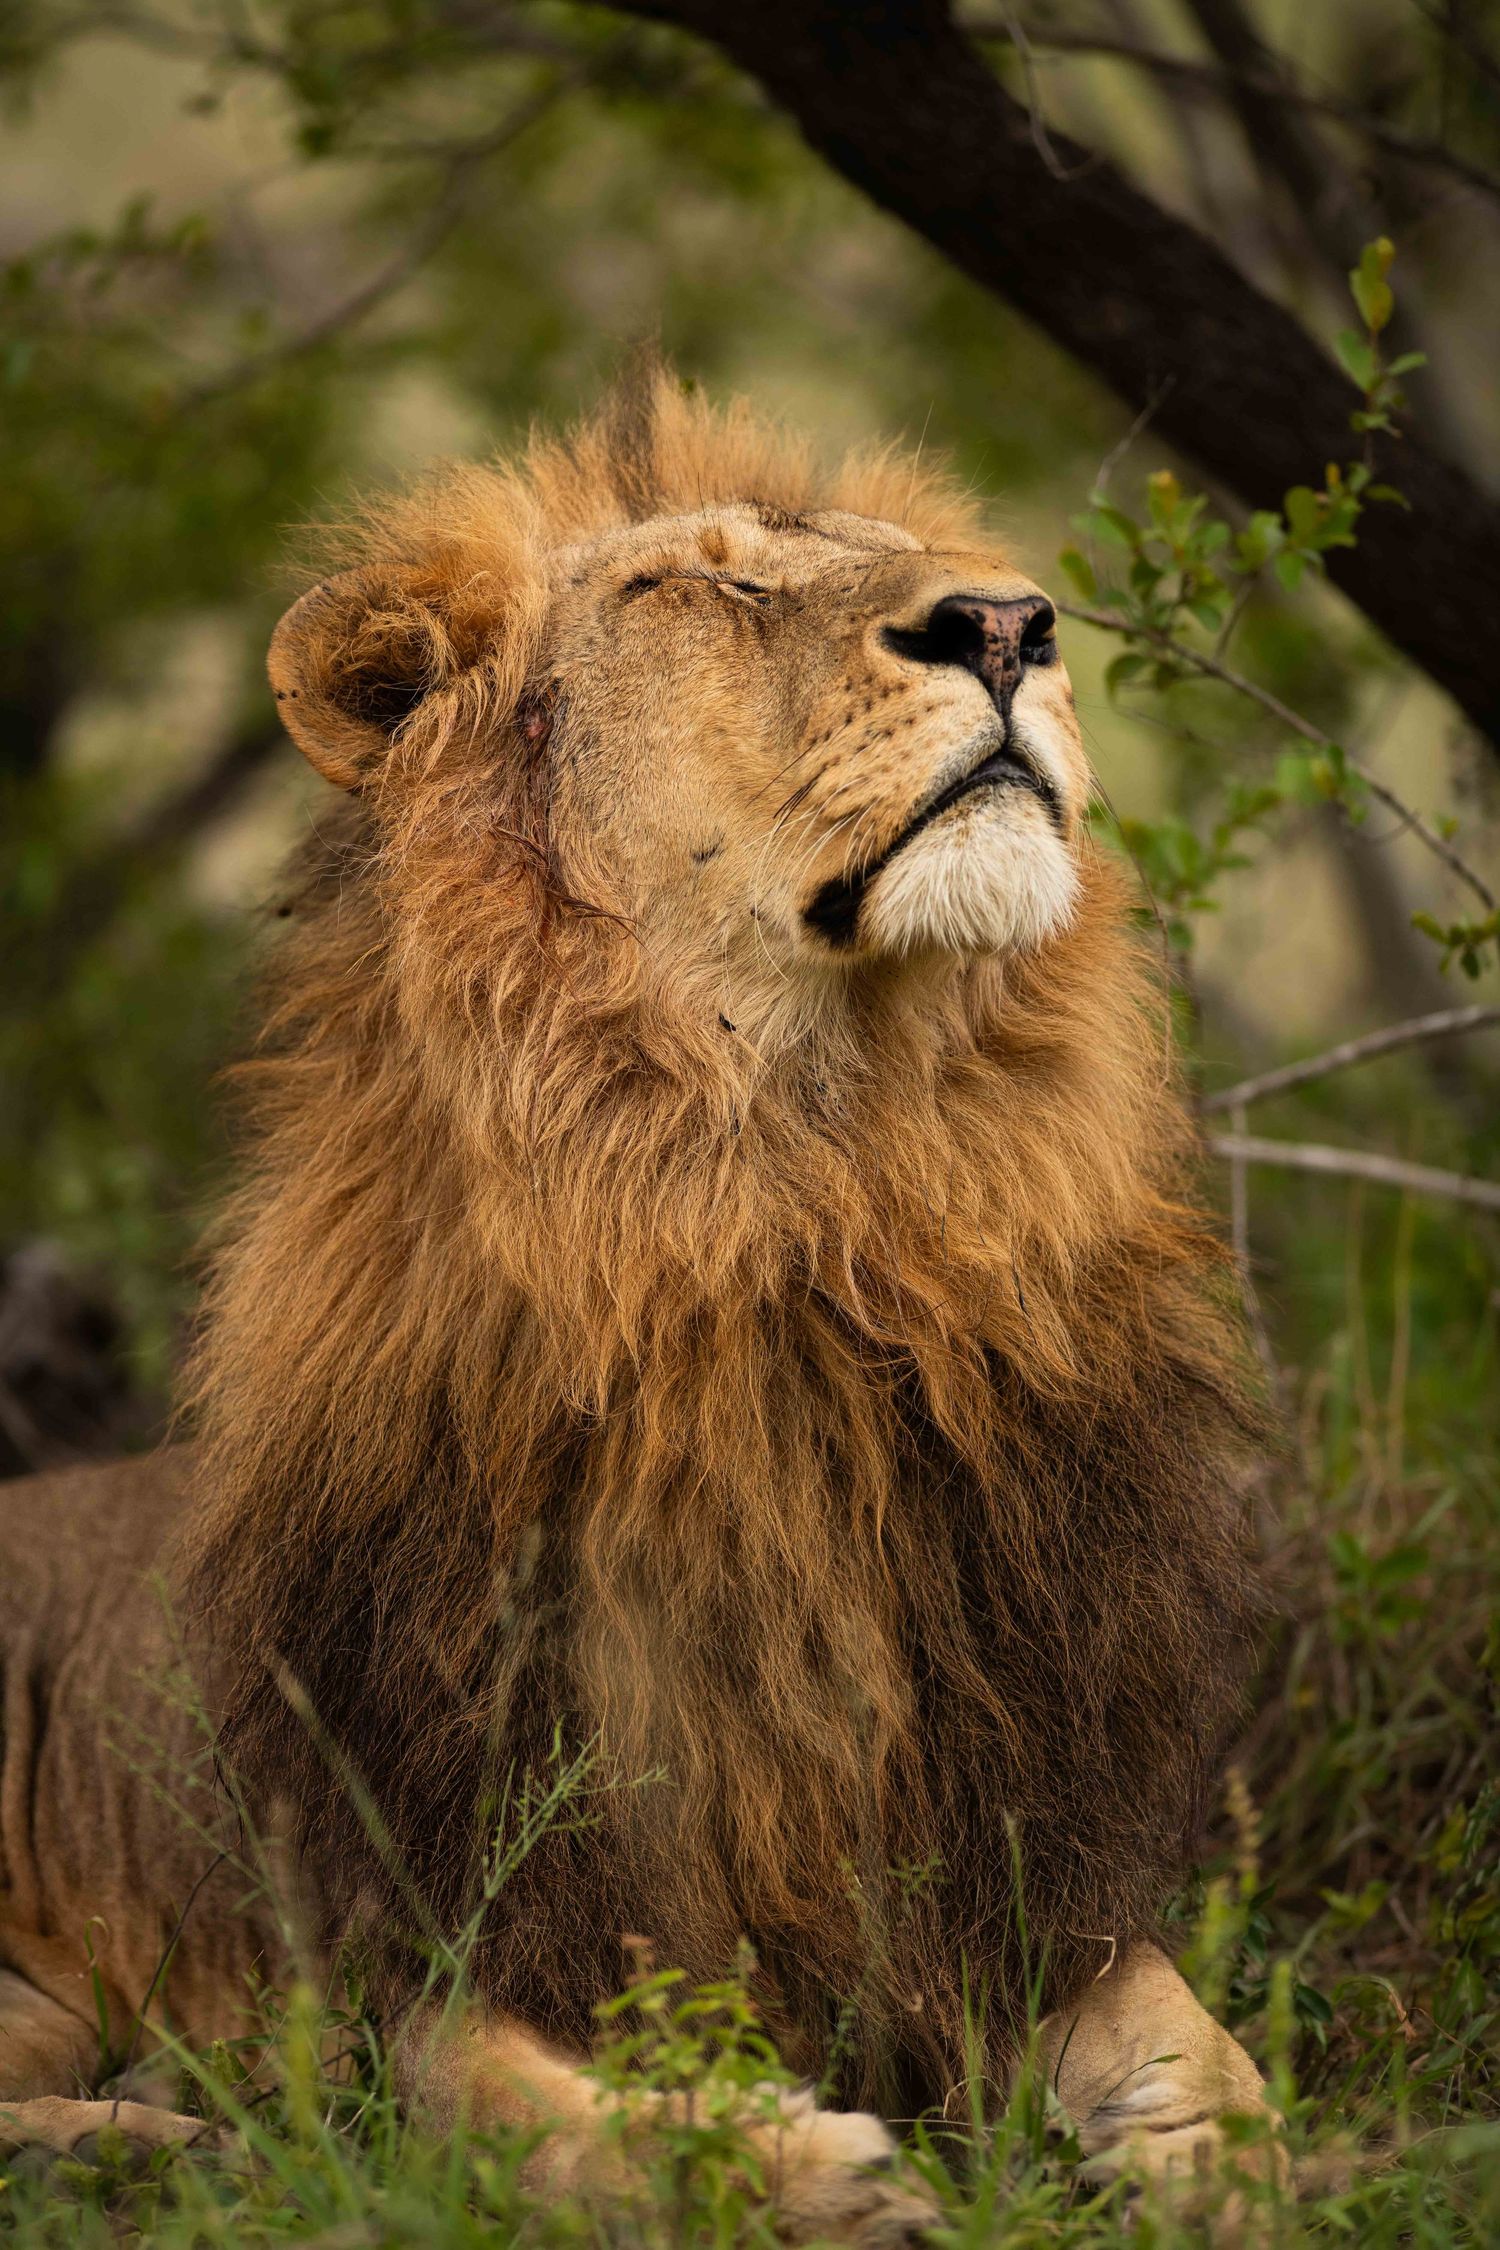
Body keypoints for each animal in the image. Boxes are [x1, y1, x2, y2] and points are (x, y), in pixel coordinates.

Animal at [0, 369, 1276, 2238]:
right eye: (698, 587)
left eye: (967, 581)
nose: (1011, 624)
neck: (801, 1199)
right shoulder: (440, 1925)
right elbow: (529, 2116)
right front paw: (796, 2167)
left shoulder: (1012, 1852)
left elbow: (1212, 2059)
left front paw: (1209, 2168)